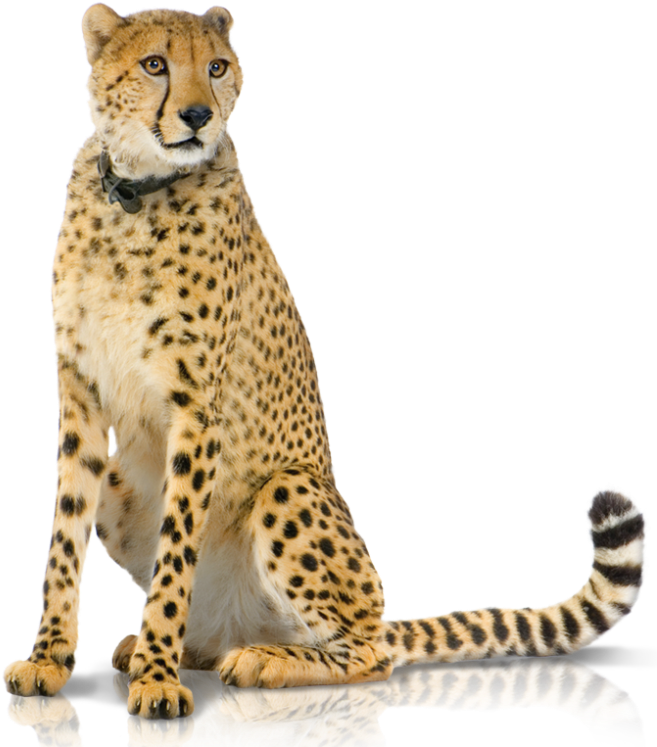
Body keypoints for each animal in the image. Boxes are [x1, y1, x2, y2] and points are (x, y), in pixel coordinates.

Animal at [2, 3, 649, 722]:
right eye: (154, 64)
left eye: (217, 66)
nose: (198, 115)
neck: (136, 196)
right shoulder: (81, 397)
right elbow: (64, 538)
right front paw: (49, 660)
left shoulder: (197, 411)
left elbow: (174, 558)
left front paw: (156, 680)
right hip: (125, 484)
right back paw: (167, 647)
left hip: (290, 490)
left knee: (369, 655)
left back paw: (255, 660)